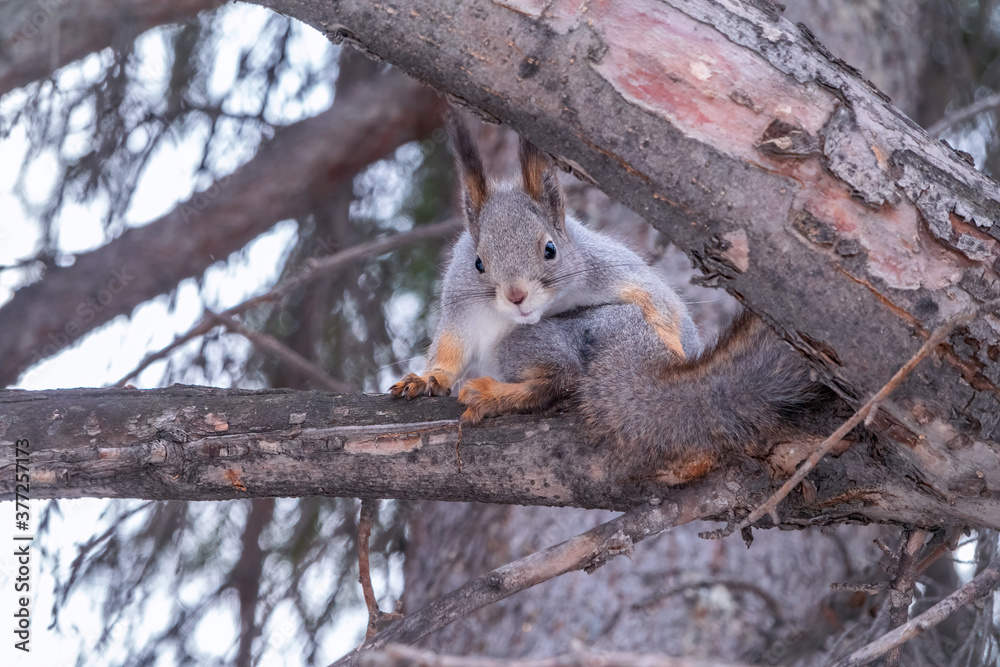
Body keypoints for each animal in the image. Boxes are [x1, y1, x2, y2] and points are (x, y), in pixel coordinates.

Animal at [390, 113, 701, 400]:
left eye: (550, 250)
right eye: (478, 263)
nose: (516, 296)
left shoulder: (606, 269)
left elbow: (661, 304)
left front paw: (675, 351)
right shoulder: (461, 302)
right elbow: (449, 349)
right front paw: (427, 378)